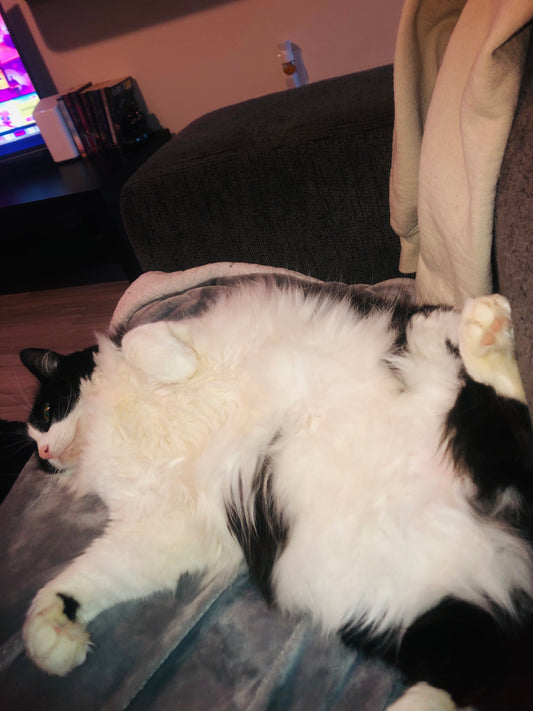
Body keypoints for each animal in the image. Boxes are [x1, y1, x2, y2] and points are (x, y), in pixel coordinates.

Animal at [16, 280, 532, 711]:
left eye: (46, 412)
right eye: (39, 451)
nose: (43, 451)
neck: (119, 424)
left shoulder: (183, 330)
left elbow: (142, 341)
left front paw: (178, 366)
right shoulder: (160, 527)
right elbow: (90, 575)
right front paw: (49, 633)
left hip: (432, 352)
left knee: (509, 408)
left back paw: (487, 331)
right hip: (420, 610)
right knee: (466, 670)